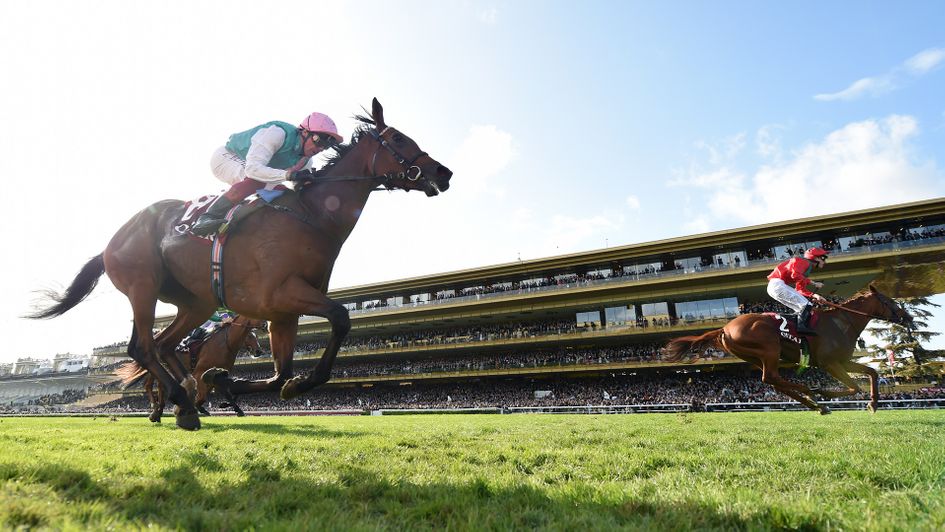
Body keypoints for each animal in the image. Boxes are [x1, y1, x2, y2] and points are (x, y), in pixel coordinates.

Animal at [26, 100, 454, 430]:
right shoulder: (282, 294)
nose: (443, 172)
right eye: (398, 139)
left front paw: (235, 383)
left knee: (164, 346)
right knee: (142, 346)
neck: (311, 216)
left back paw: (184, 401)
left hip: (196, 302)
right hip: (142, 286)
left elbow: (279, 375)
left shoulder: (283, 314)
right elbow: (341, 318)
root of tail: (110, 244)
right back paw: (180, 401)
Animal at [660, 286, 912, 416]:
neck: (841, 322)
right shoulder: (830, 363)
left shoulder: (842, 361)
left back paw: (815, 403)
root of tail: (725, 327)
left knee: (774, 381)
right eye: (890, 301)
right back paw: (813, 394)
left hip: (756, 356)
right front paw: (825, 391)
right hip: (770, 348)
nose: (908, 317)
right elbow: (854, 387)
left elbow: (872, 373)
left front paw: (873, 403)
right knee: (771, 378)